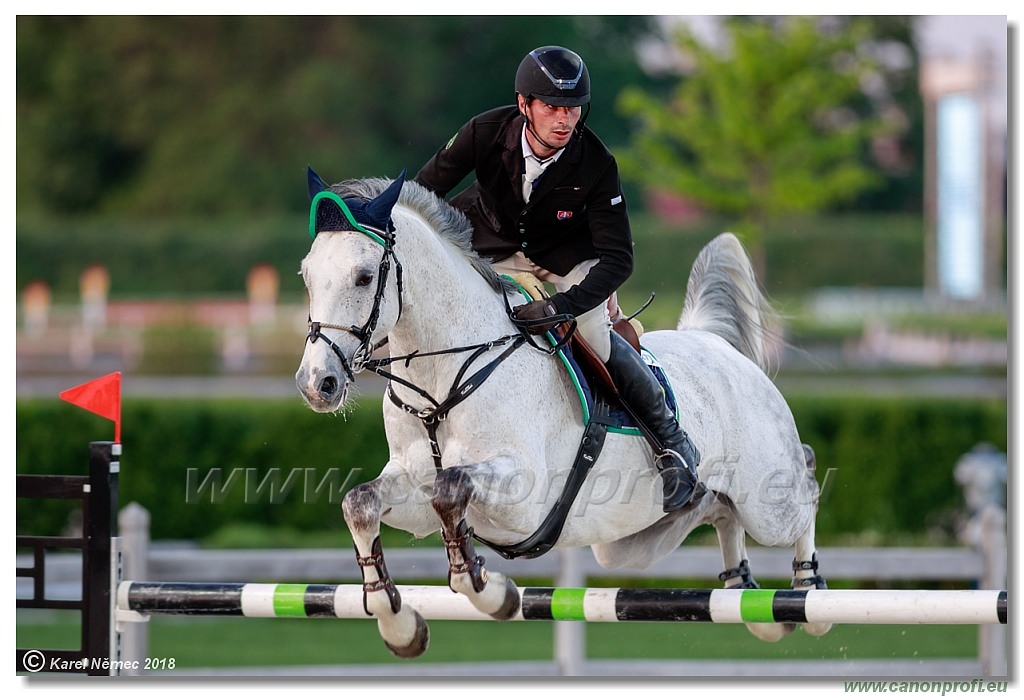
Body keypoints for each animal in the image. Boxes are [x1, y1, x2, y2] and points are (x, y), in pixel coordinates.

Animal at [292, 169, 827, 654]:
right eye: (307, 276)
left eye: (364, 277)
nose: (317, 384)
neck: (443, 382)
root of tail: (713, 341)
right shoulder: (412, 487)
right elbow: (361, 504)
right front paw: (400, 627)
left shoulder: (524, 494)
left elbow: (452, 491)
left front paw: (493, 594)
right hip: (628, 542)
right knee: (719, 511)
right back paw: (749, 598)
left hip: (768, 505)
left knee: (803, 485)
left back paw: (809, 593)